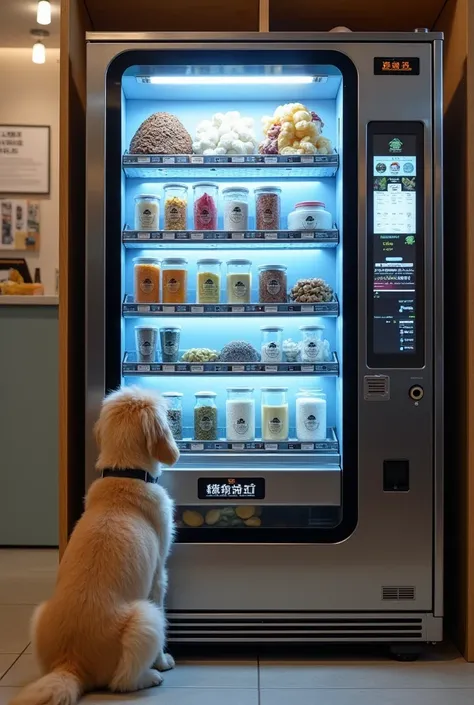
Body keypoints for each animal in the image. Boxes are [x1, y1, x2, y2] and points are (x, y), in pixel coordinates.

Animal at [11, 384, 181, 704]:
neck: (124, 472)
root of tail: (71, 664)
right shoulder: (159, 576)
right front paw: (163, 660)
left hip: (38, 612)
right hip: (145, 618)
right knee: (122, 681)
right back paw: (151, 675)